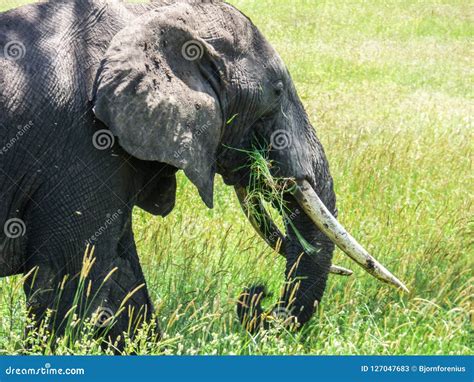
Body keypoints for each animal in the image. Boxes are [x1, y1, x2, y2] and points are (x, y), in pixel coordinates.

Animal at [0, 0, 408, 348]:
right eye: (277, 92)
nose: (256, 295)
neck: (149, 13)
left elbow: (121, 275)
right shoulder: (81, 144)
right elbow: (71, 281)